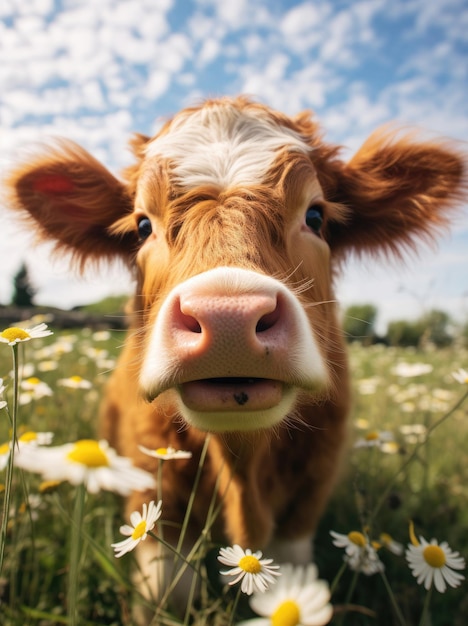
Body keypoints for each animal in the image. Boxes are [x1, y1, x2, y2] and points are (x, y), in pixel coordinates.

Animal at [5, 97, 466, 608]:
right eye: (143, 225)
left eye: (316, 216)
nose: (228, 317)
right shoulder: (152, 484)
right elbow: (170, 592)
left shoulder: (310, 490)